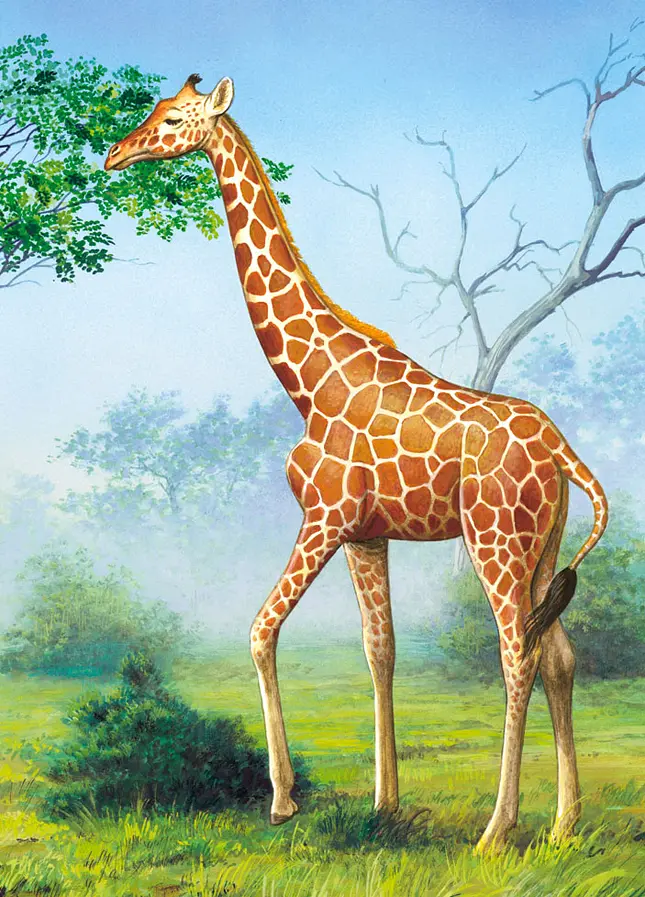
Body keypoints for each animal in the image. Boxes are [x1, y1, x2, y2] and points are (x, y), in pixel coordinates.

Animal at [105, 75, 608, 851]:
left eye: (171, 119)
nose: (114, 154)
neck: (308, 379)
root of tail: (563, 453)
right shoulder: (366, 533)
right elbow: (381, 650)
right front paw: (384, 803)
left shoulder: (325, 516)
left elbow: (260, 630)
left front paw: (283, 800)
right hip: (540, 547)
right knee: (557, 654)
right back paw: (562, 823)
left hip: (495, 538)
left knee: (515, 654)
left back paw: (497, 829)